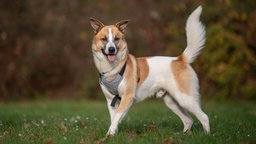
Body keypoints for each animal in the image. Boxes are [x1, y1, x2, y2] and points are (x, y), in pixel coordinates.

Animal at [90, 5, 210, 136]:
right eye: (104, 39)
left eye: (116, 39)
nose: (112, 49)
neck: (113, 69)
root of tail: (180, 59)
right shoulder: (111, 101)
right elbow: (114, 119)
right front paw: (112, 134)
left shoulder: (127, 97)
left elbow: (117, 117)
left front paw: (109, 134)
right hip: (172, 102)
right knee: (188, 120)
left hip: (185, 99)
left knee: (204, 117)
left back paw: (207, 135)